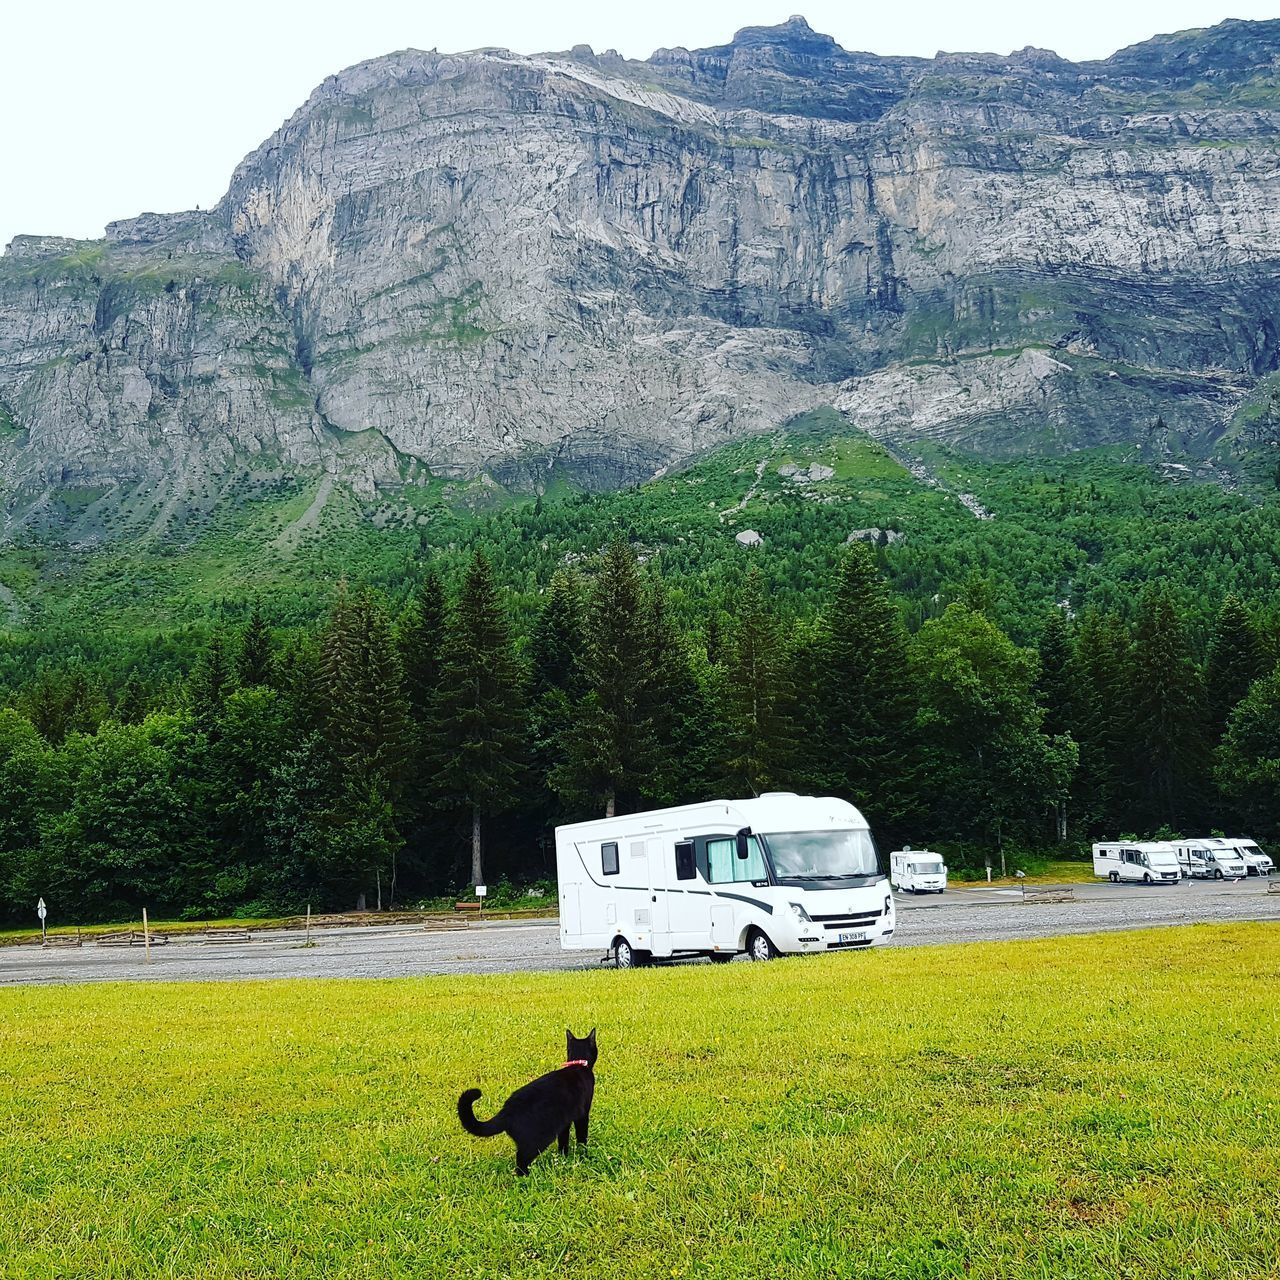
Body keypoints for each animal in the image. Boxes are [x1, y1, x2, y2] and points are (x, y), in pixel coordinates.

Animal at [458, 1024, 596, 1172]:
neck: (578, 1065)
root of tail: (506, 1111)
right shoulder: (583, 1114)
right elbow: (582, 1137)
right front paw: (584, 1154)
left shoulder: (565, 1121)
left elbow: (563, 1140)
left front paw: (563, 1157)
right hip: (538, 1140)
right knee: (521, 1161)